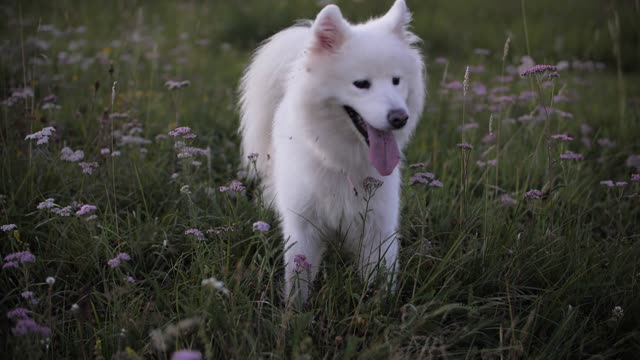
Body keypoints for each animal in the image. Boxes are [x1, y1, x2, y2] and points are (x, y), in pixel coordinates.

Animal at [240, 0, 424, 302]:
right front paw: (293, 312)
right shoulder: (303, 229)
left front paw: (382, 305)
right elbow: (299, 282)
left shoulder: (379, 227)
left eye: (396, 80)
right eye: (361, 84)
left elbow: (381, 281)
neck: (342, 162)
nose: (400, 118)